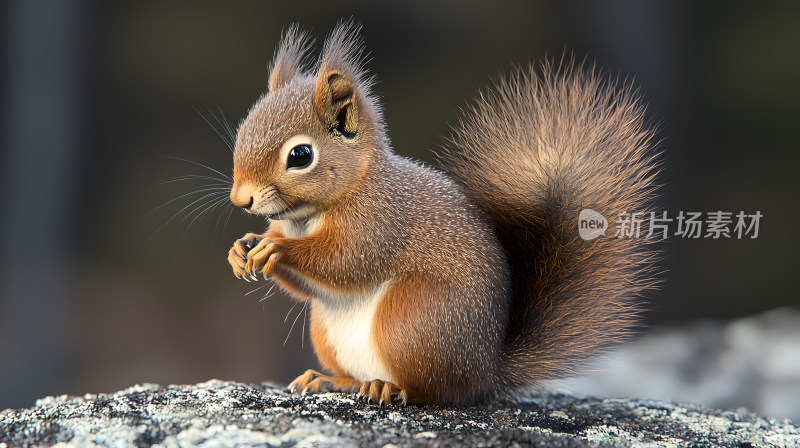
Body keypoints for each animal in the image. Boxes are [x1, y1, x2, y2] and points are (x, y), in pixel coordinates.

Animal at [225, 21, 664, 406]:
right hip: (328, 331)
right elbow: (309, 285)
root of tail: (485, 372)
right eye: (243, 130)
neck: (308, 216)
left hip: (414, 318)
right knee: (356, 373)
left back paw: (391, 388)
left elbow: (345, 261)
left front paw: (276, 249)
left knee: (438, 391)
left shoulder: (380, 221)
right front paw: (241, 249)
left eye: (300, 155)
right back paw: (331, 379)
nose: (240, 200)